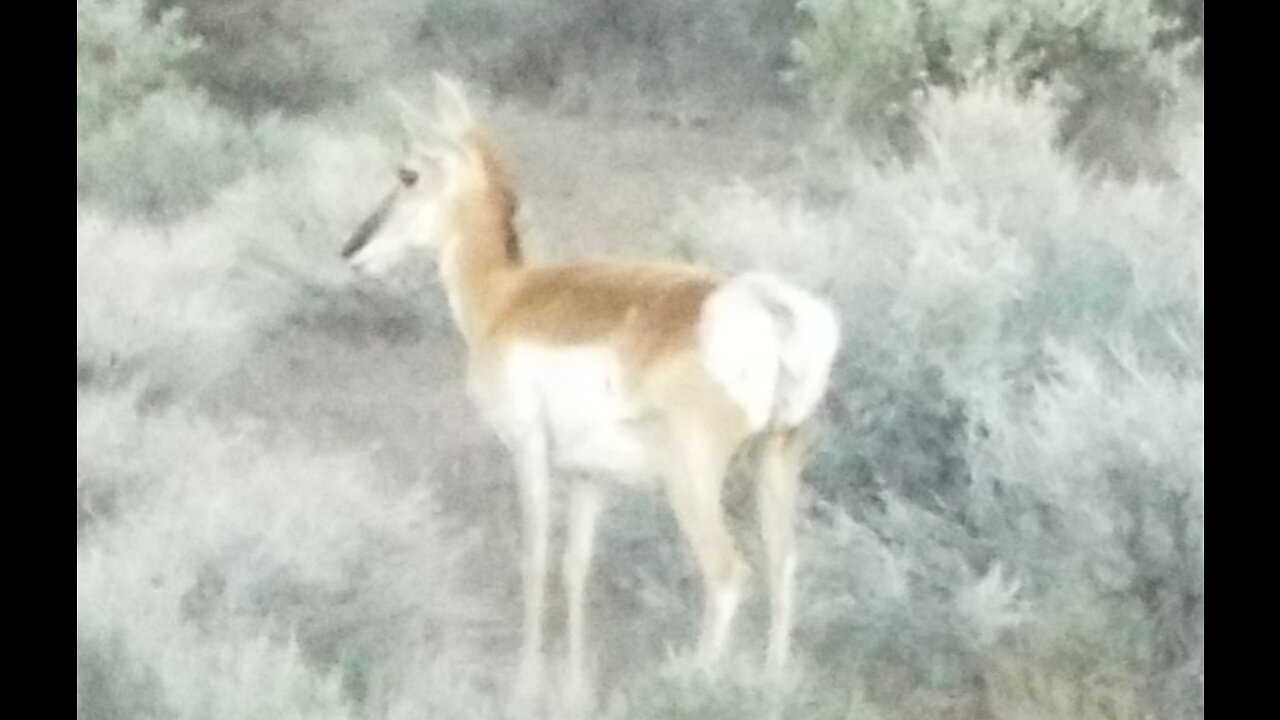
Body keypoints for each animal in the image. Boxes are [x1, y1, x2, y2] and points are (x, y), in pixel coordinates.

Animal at [340, 75, 839, 707]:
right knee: (784, 564)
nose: (351, 250)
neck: (507, 297)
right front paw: (573, 685)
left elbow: (535, 558)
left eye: (407, 173)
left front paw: (525, 685)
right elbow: (577, 566)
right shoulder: (588, 477)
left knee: (727, 574)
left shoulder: (528, 449)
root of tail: (761, 306)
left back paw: (693, 686)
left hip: (692, 481)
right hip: (775, 461)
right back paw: (771, 687)